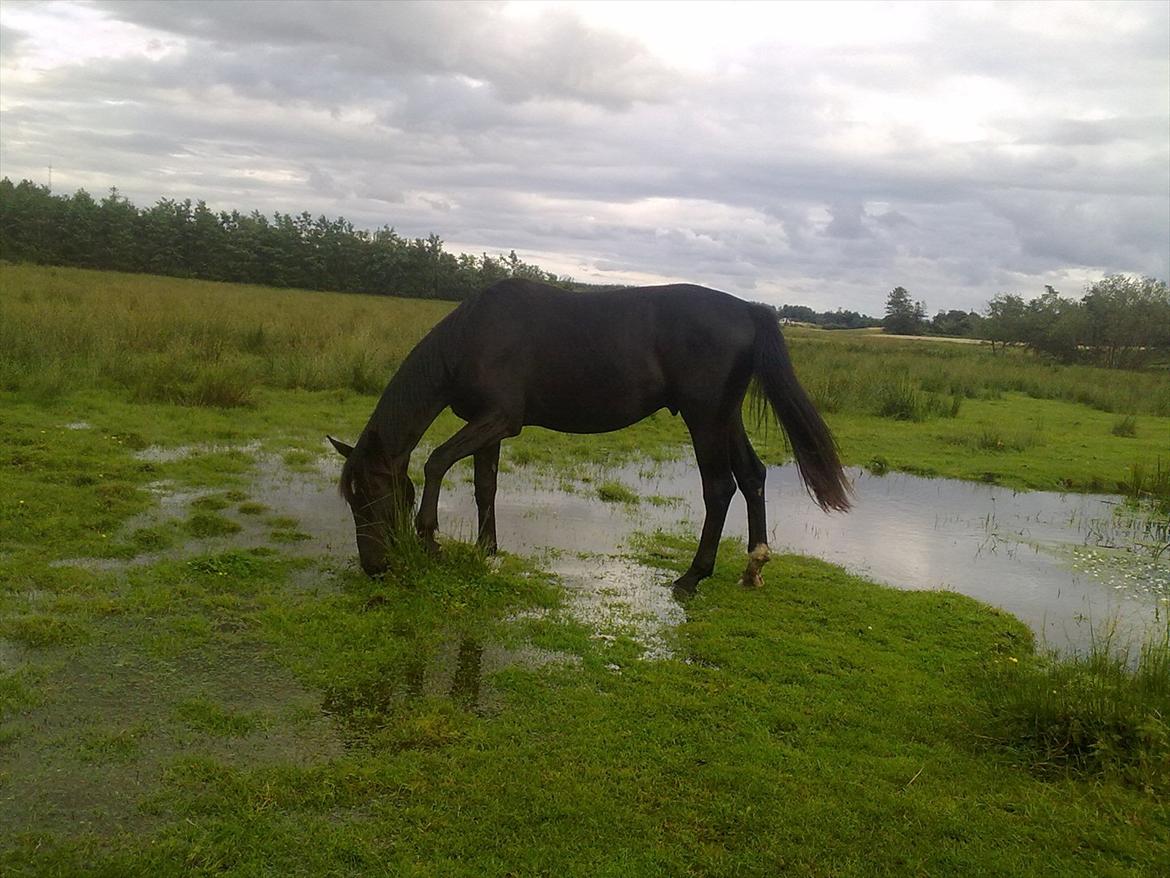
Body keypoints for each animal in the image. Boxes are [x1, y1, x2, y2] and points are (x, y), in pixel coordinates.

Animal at [329, 279, 851, 599]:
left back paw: (692, 576)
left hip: (704, 417)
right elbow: (484, 486)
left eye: (372, 496)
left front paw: (430, 539)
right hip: (724, 416)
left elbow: (435, 461)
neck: (473, 336)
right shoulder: (488, 426)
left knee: (719, 487)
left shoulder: (499, 419)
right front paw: (486, 552)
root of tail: (748, 309)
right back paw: (753, 566)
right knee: (752, 475)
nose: (374, 566)